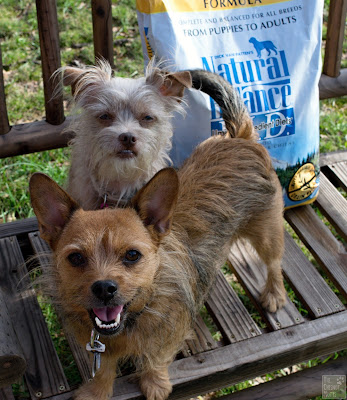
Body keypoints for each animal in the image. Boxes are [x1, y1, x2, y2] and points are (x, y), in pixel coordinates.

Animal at [29, 72, 286, 396]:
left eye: (132, 255)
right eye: (75, 258)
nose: (104, 288)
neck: (133, 316)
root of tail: (240, 137)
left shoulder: (167, 337)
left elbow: (155, 357)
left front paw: (154, 383)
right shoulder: (98, 346)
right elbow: (103, 368)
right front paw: (96, 391)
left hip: (267, 231)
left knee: (274, 261)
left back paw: (274, 294)